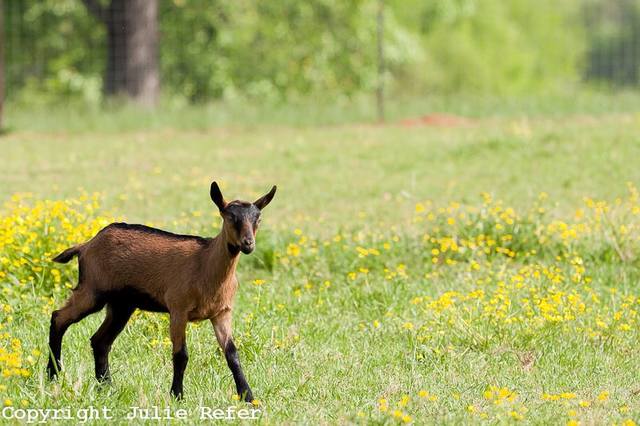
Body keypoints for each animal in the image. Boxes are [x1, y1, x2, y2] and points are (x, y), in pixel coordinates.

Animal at [45, 182, 276, 400]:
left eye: (258, 219)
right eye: (230, 217)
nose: (248, 244)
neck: (205, 264)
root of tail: (86, 245)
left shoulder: (221, 313)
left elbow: (232, 354)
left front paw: (248, 397)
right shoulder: (178, 309)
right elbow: (181, 354)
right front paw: (177, 395)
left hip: (121, 304)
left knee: (100, 341)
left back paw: (106, 386)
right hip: (92, 290)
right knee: (59, 318)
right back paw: (53, 376)